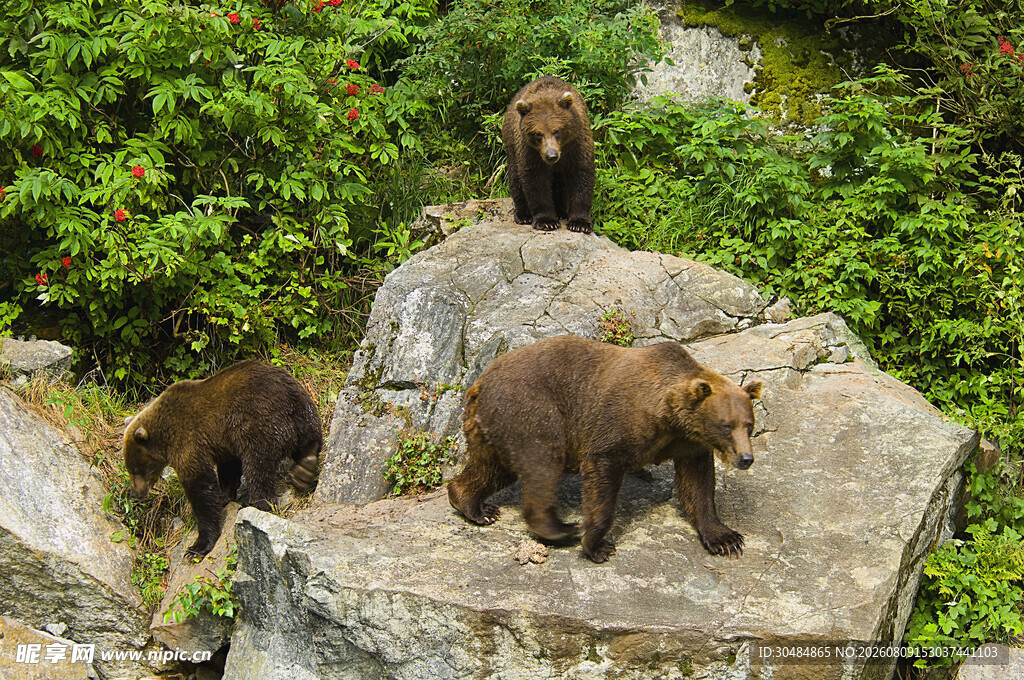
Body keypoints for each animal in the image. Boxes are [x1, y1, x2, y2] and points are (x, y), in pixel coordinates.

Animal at [123, 359, 322, 557]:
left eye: (136, 469)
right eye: (129, 469)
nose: (135, 494)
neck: (164, 436)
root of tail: (291, 398)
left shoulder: (188, 442)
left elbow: (201, 489)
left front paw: (198, 546)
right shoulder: (223, 440)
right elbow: (228, 469)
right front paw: (225, 496)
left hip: (260, 422)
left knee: (257, 469)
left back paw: (259, 504)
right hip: (304, 413)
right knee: (309, 441)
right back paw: (305, 469)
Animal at [447, 335, 762, 563]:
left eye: (749, 424)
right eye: (726, 425)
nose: (746, 458)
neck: (668, 416)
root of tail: (478, 383)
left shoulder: (687, 443)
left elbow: (697, 484)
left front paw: (725, 539)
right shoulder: (621, 423)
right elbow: (602, 469)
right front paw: (598, 544)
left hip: (493, 428)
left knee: (492, 468)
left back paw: (475, 505)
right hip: (532, 409)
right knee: (542, 464)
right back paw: (561, 529)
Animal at [502, 76, 595, 233]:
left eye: (557, 131)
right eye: (538, 134)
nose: (551, 156)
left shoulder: (577, 143)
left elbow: (581, 174)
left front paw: (579, 223)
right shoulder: (530, 150)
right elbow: (535, 179)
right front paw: (546, 221)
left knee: (560, 183)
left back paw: (561, 212)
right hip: (512, 143)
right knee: (515, 176)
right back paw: (523, 215)